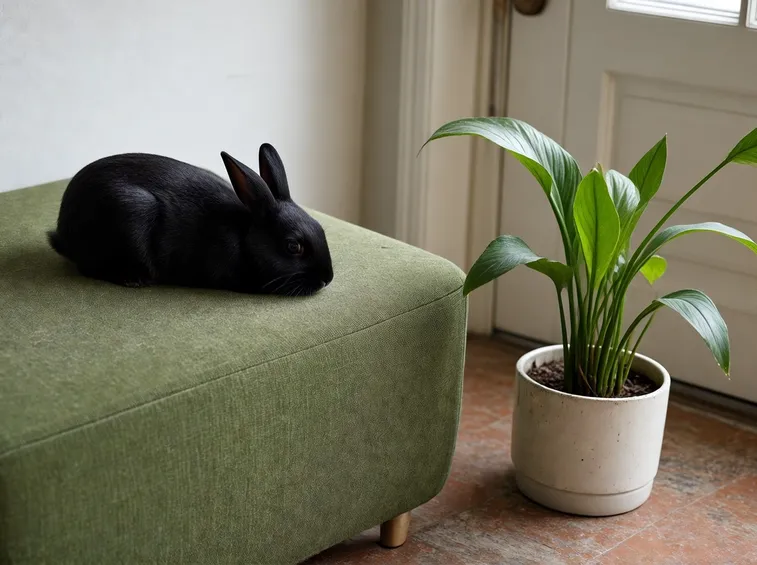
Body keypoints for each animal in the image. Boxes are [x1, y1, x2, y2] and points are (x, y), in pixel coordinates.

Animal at [47, 144, 334, 296]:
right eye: (293, 246)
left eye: (320, 228)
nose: (327, 279)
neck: (244, 237)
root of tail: (63, 232)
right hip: (129, 215)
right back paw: (135, 280)